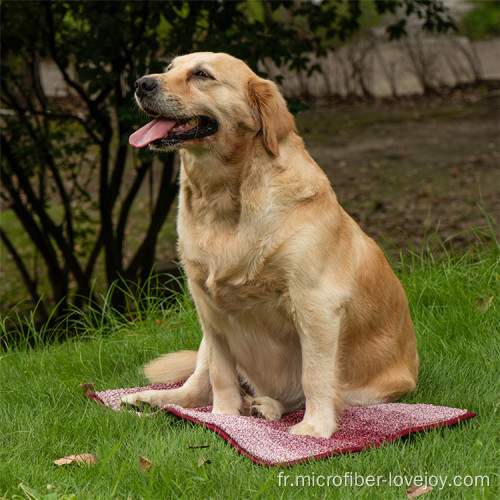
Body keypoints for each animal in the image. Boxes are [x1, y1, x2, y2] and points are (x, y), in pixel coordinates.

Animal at [125, 52, 418, 438]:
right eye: (170, 68)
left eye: (201, 74)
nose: (141, 83)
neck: (223, 203)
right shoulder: (207, 307)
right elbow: (220, 376)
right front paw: (224, 418)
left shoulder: (315, 303)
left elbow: (314, 376)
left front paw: (315, 428)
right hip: (203, 342)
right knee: (193, 388)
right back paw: (150, 400)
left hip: (369, 391)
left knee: (301, 396)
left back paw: (266, 405)